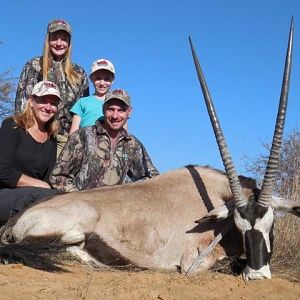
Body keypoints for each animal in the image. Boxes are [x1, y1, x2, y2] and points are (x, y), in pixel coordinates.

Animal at [0, 18, 298, 282]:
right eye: (239, 226)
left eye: (271, 224)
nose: (257, 275)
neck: (215, 196)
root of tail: (17, 220)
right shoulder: (192, 262)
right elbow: (225, 264)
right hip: (77, 225)